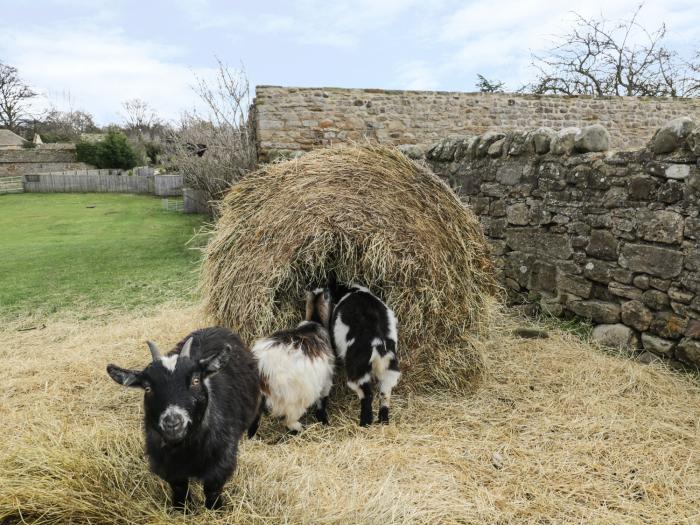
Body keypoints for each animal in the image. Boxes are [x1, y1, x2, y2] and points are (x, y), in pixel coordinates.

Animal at [108, 328, 262, 508]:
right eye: (147, 388)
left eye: (195, 380)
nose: (173, 423)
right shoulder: (168, 464)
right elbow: (179, 488)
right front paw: (181, 508)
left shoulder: (222, 458)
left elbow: (212, 489)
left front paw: (215, 509)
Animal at [252, 288, 336, 432]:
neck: (315, 321)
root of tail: (262, 369)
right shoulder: (326, 379)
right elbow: (322, 401)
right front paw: (324, 420)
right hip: (294, 397)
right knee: (289, 419)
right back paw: (298, 427)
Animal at [328, 282, 400, 426]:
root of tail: (378, 344)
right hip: (390, 370)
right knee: (385, 394)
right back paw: (383, 421)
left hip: (357, 372)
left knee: (367, 395)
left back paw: (365, 422)